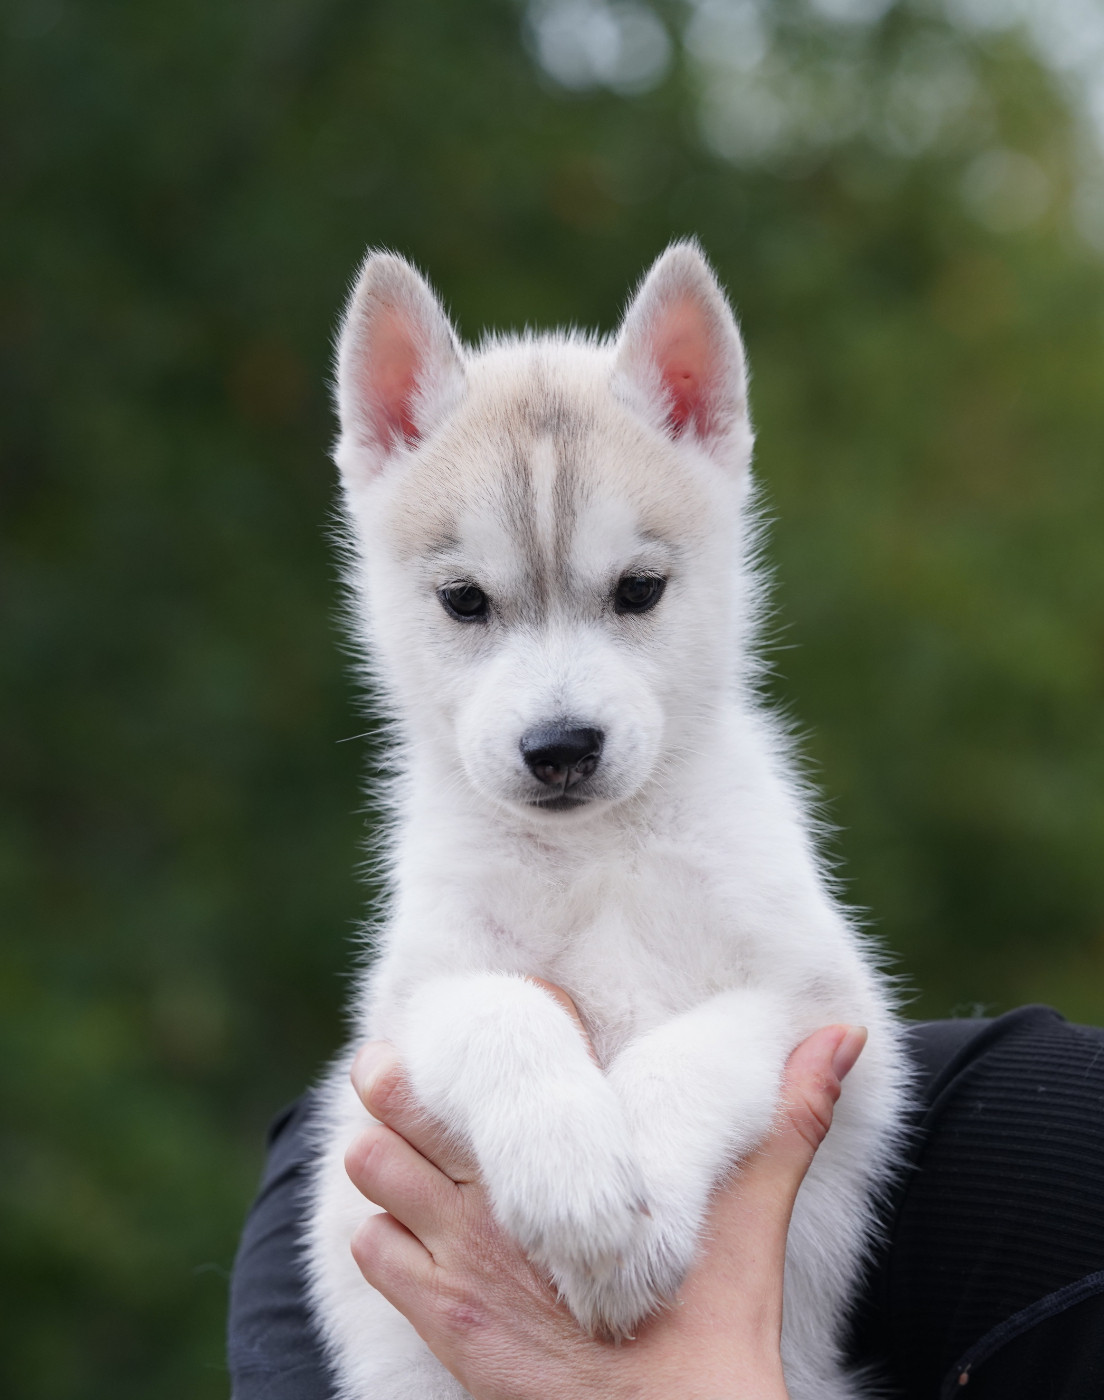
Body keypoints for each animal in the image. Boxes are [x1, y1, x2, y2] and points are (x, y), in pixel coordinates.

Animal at [305, 241, 908, 1399]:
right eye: (463, 600)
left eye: (638, 590)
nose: (560, 746)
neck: (595, 852)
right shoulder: (407, 1012)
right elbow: (502, 1010)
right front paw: (574, 1180)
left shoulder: (824, 1010)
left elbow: (685, 1054)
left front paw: (636, 1221)